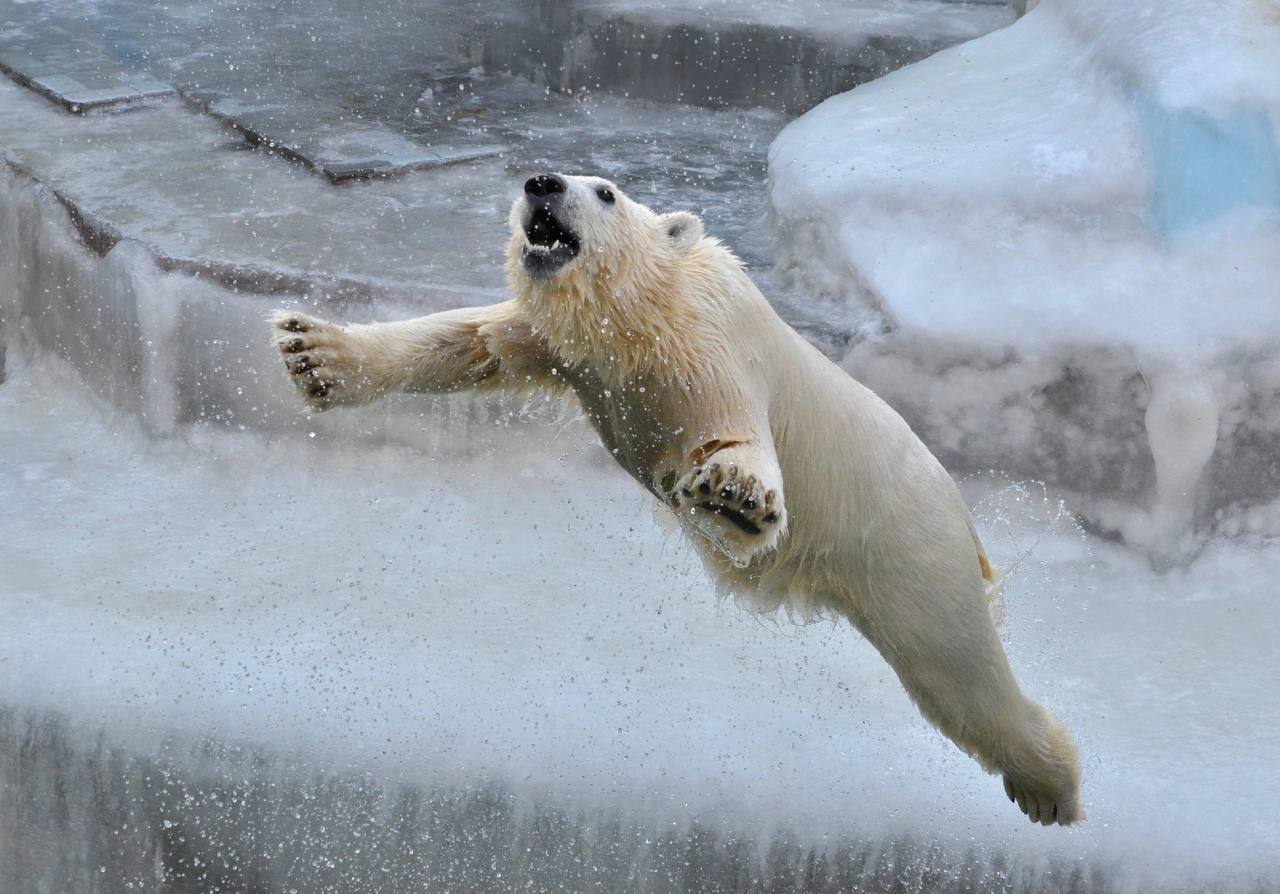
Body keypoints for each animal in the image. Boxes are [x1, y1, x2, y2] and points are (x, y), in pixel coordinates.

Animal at [267, 170, 1080, 824]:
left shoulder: (712, 344)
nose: (541, 183)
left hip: (905, 545)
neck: (641, 320)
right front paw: (315, 353)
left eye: (604, 191)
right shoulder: (567, 346)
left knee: (956, 670)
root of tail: (963, 516)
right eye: (555, 180)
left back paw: (1051, 786)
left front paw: (733, 496)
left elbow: (734, 434)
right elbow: (467, 341)